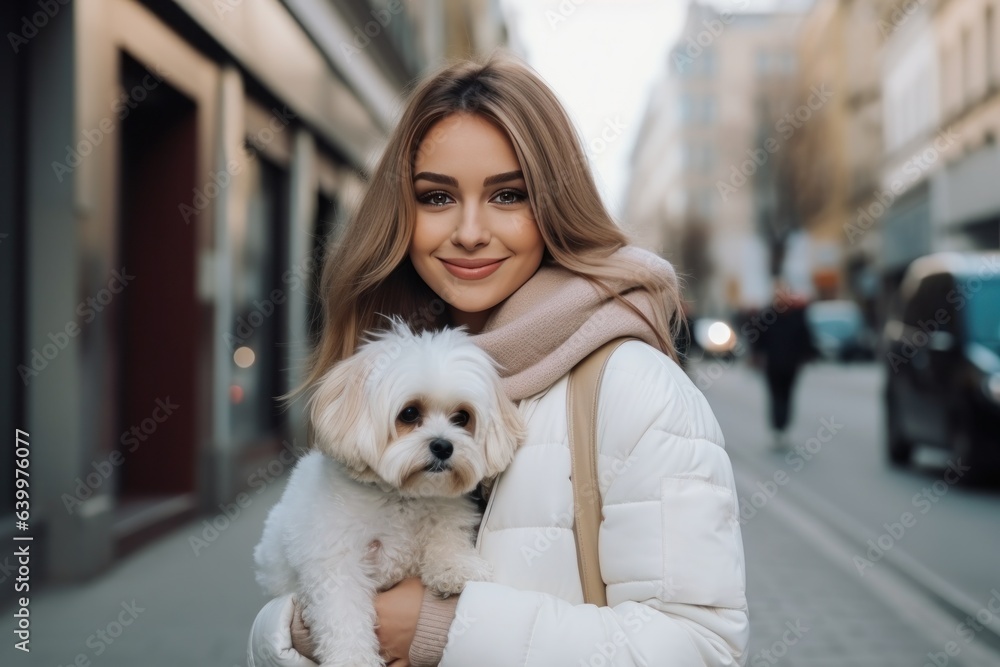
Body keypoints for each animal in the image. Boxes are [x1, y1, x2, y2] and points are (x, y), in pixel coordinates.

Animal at [254, 318, 528, 667]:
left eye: (462, 417)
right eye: (409, 413)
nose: (443, 446)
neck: (403, 497)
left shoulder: (446, 516)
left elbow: (445, 539)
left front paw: (455, 567)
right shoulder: (336, 566)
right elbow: (343, 617)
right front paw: (352, 659)